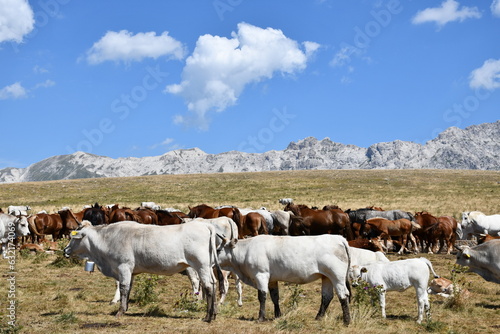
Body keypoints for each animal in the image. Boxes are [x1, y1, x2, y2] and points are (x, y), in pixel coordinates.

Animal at [64, 219, 223, 320]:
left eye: (74, 237)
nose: (65, 250)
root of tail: (205, 225)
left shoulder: (124, 267)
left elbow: (123, 288)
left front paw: (120, 311)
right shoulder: (131, 271)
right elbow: (128, 289)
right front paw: (126, 308)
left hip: (201, 265)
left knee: (208, 286)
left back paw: (208, 316)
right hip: (208, 267)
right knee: (213, 284)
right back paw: (214, 313)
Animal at [218, 234, 352, 324]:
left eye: (218, 249)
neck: (246, 250)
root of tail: (339, 238)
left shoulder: (261, 275)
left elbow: (262, 297)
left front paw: (261, 318)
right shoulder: (272, 280)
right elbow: (275, 297)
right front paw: (278, 315)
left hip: (337, 277)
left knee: (343, 295)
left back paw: (347, 320)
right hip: (327, 277)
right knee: (326, 297)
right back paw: (318, 317)